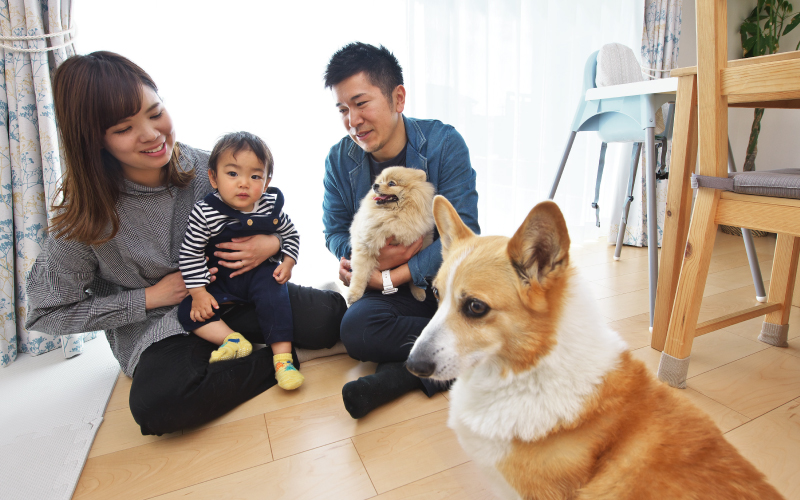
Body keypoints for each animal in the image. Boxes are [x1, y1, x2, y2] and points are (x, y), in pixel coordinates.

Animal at [348, 167, 434, 304]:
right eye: (380, 181)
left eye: (391, 183)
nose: (375, 185)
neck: (393, 215)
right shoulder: (365, 245)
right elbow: (360, 274)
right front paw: (353, 294)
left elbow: (413, 273)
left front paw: (419, 292)